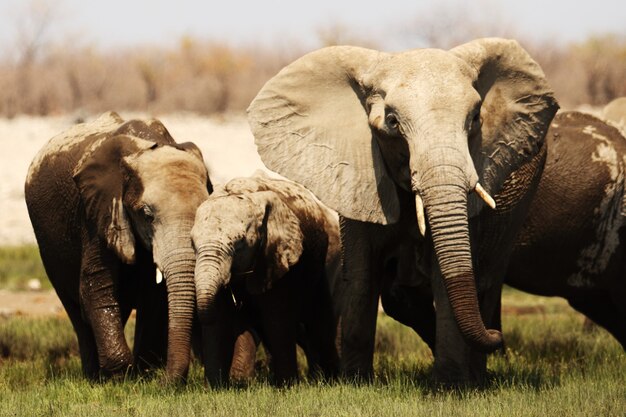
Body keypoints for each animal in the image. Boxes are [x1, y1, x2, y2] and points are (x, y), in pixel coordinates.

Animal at [191, 172, 342, 384]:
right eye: (192, 244)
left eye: (239, 244)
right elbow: (218, 320)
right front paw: (215, 387)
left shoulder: (278, 259)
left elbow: (276, 320)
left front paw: (287, 386)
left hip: (328, 258)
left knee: (321, 322)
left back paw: (331, 380)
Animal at [244, 37, 556, 382]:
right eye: (392, 122)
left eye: (475, 119)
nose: (497, 337)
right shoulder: (359, 174)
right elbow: (362, 272)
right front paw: (356, 383)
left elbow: (446, 273)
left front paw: (448, 384)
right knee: (402, 297)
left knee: (486, 278)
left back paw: (476, 375)